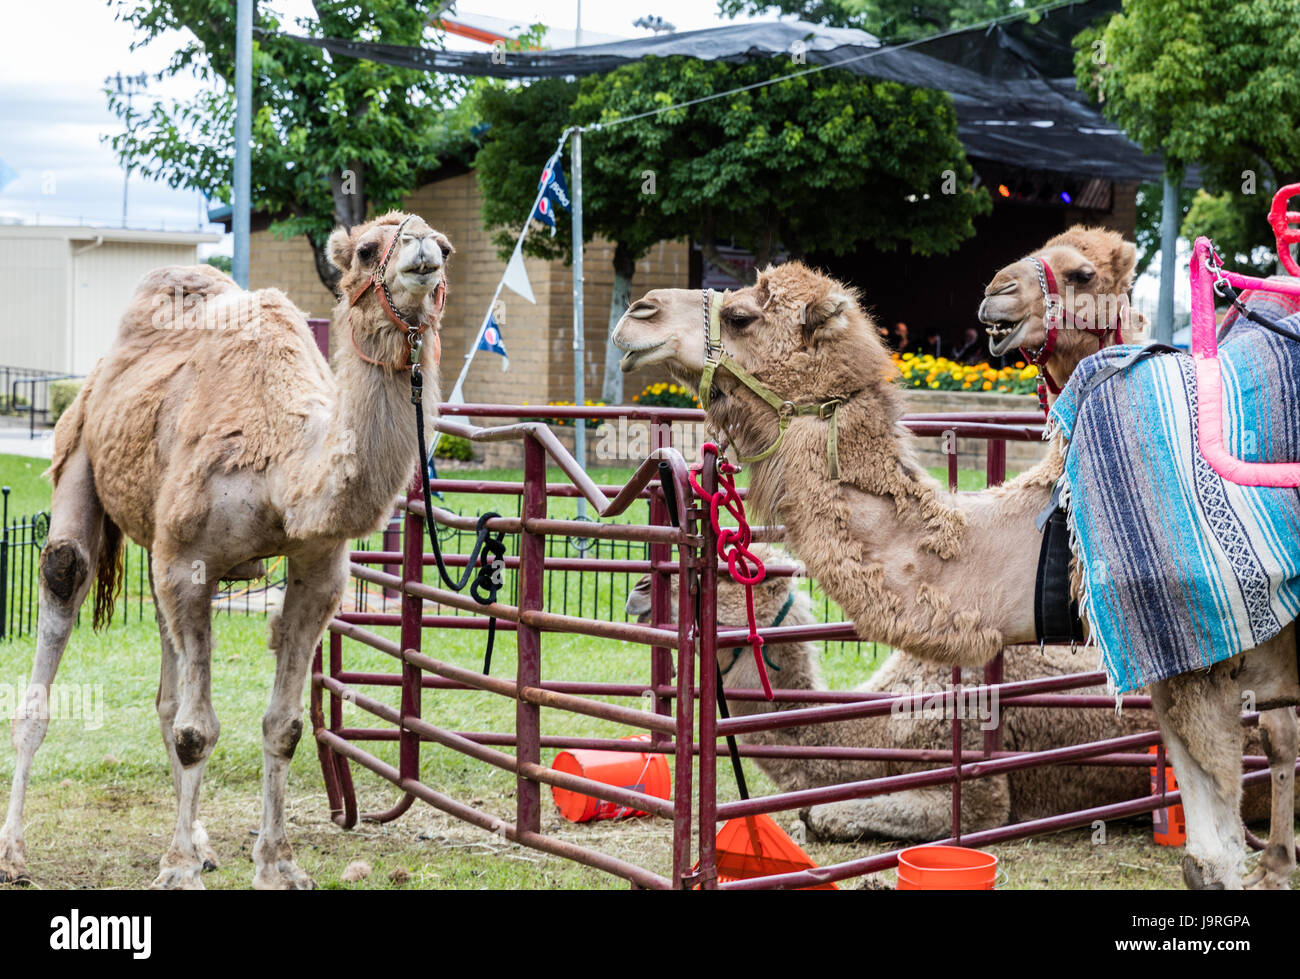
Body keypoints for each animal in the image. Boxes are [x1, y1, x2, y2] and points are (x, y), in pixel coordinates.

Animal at [0, 211, 451, 888]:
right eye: (369, 249)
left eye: (446, 246)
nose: (423, 247)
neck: (284, 468)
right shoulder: (191, 563)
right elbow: (196, 731)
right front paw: (179, 870)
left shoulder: (316, 570)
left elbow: (283, 726)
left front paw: (277, 864)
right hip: (79, 457)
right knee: (62, 584)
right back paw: (15, 849)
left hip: (156, 544)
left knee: (166, 691)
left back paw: (202, 840)